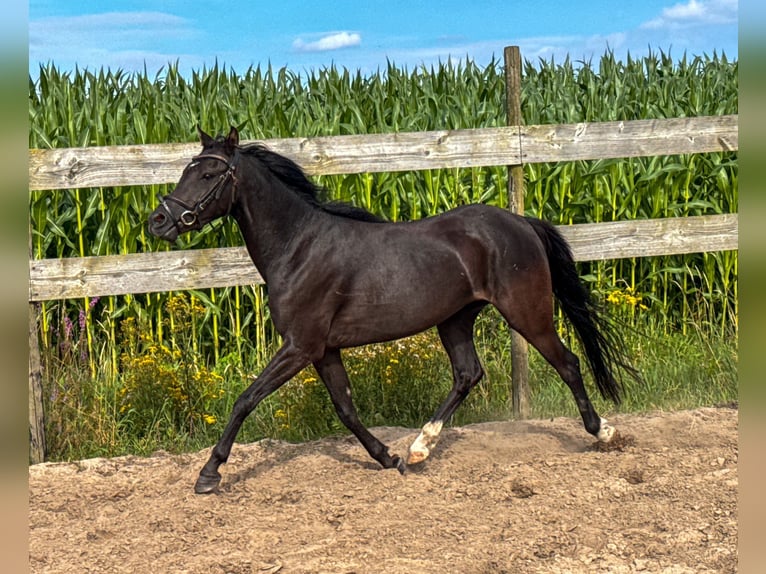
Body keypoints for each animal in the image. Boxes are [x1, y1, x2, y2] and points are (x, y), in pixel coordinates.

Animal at [147, 126, 640, 496]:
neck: (298, 247)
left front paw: (208, 475)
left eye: (210, 173)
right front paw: (389, 457)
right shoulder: (323, 350)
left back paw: (604, 433)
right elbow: (346, 409)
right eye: (188, 168)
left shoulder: (300, 346)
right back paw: (421, 447)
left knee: (568, 362)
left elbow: (246, 399)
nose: (159, 221)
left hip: (527, 313)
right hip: (455, 319)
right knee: (468, 374)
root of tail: (521, 222)